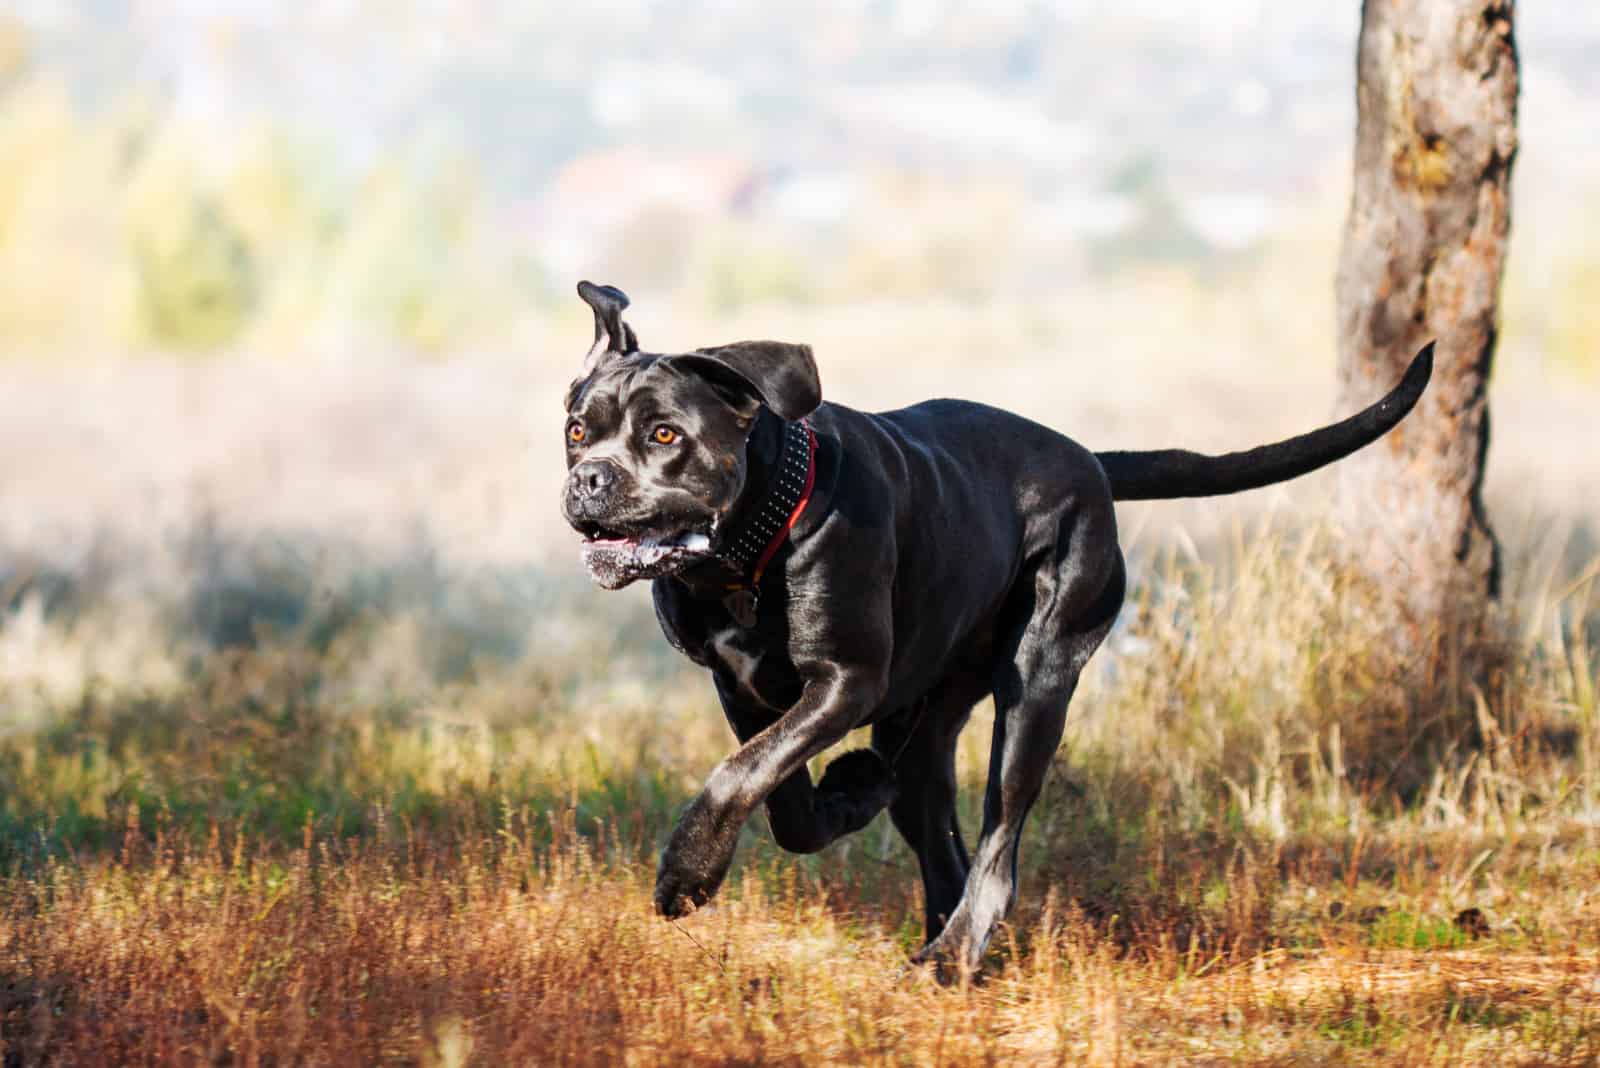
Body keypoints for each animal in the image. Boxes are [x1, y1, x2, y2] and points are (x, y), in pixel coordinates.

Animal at [563, 279, 1440, 972]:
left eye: (665, 435)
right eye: (578, 430)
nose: (589, 480)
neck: (751, 544)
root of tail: (1089, 460)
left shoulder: (846, 680)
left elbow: (740, 774)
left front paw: (684, 874)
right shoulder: (741, 686)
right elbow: (779, 796)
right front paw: (836, 798)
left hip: (1036, 686)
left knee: (999, 842)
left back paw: (952, 957)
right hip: (931, 721)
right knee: (932, 827)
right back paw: (909, 872)